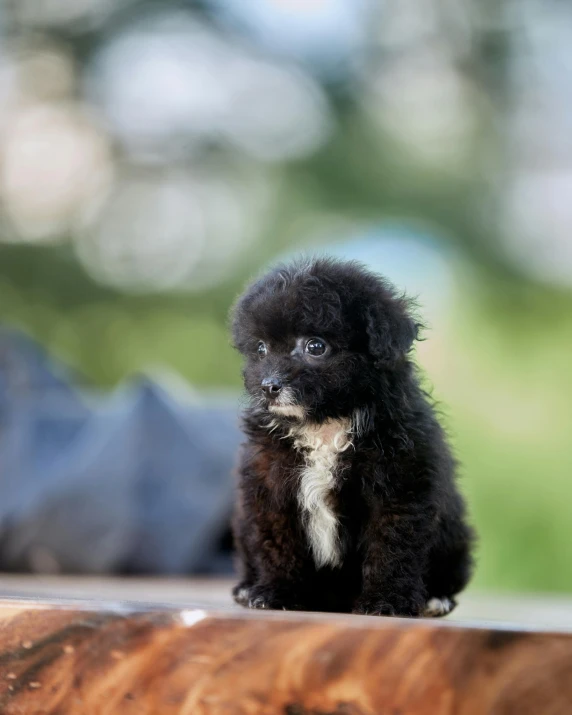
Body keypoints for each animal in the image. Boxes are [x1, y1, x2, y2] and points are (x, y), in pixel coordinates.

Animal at [230, 258, 472, 616]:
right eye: (260, 349)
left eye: (315, 346)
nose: (269, 386)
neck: (324, 425)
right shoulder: (270, 488)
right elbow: (278, 545)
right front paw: (278, 592)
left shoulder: (399, 490)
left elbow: (391, 551)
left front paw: (387, 600)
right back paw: (247, 587)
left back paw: (435, 599)